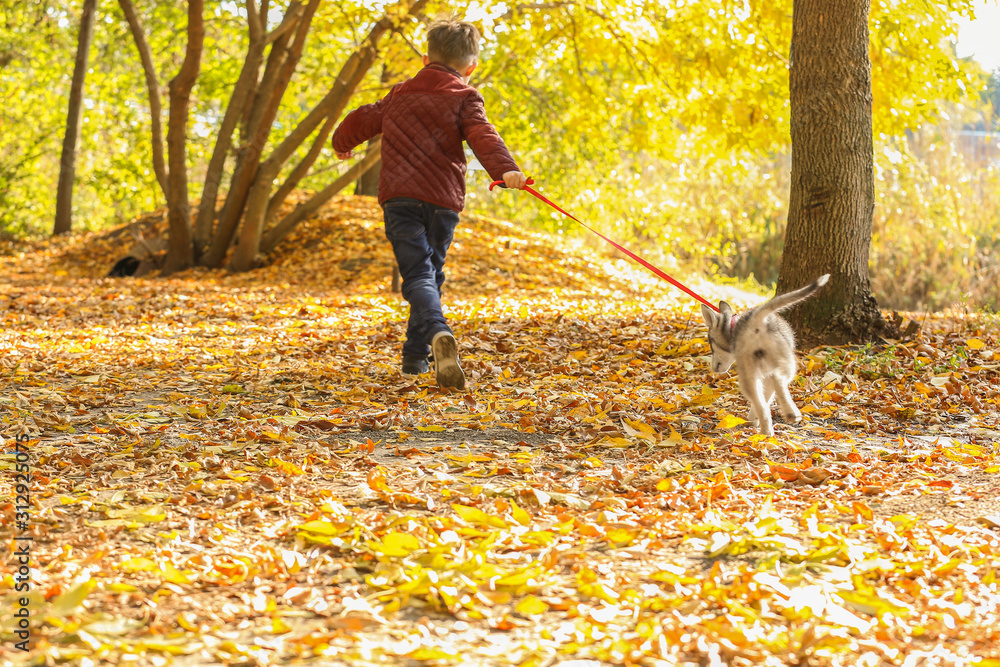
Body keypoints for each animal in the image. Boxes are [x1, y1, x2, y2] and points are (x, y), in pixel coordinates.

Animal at [700, 274, 832, 436]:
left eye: (711, 344)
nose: (712, 368)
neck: (733, 327)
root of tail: (755, 321)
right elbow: (768, 397)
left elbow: (763, 400)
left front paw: (753, 419)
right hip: (787, 362)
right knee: (778, 379)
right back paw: (790, 414)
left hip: (749, 370)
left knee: (760, 400)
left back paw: (766, 431)